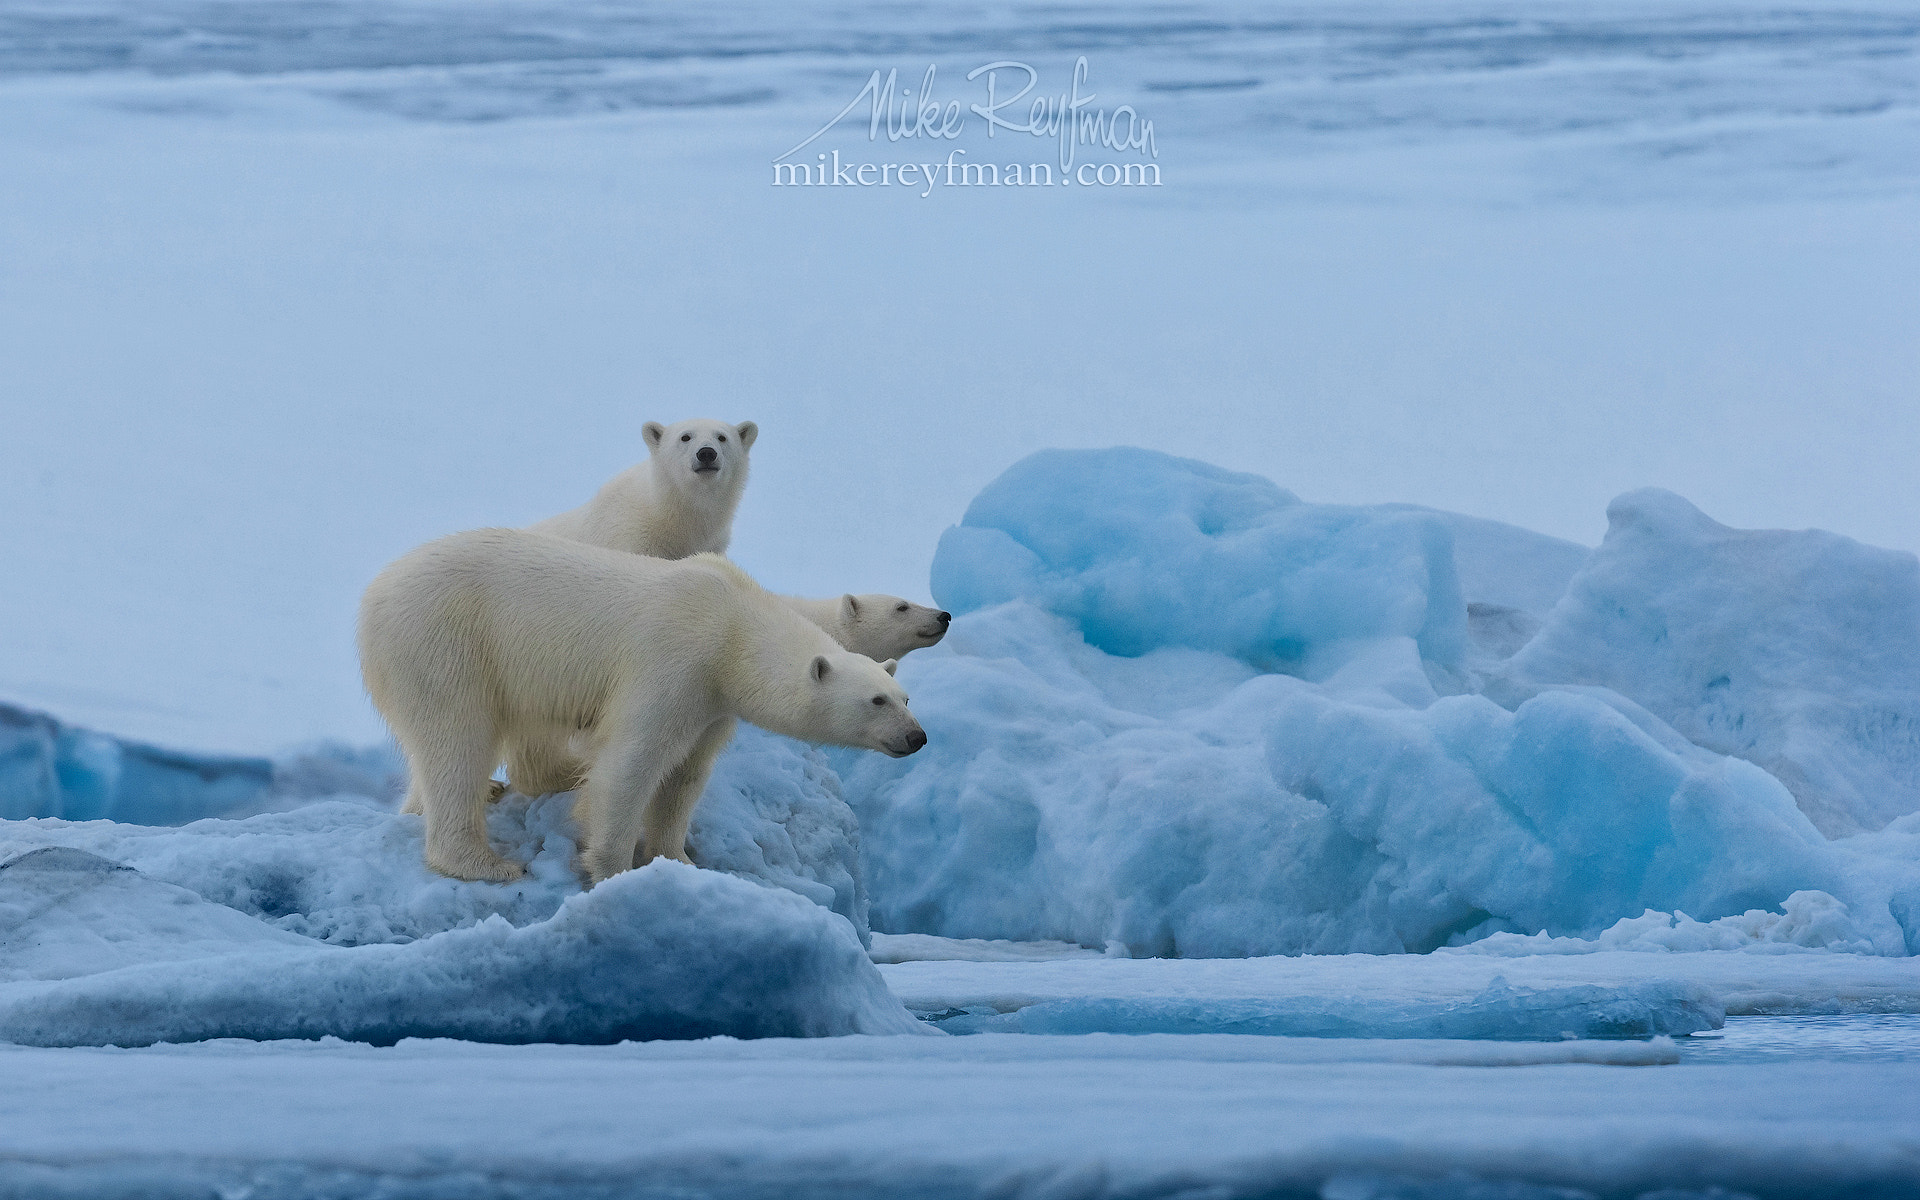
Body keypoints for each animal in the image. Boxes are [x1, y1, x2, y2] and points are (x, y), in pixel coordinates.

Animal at [358, 530, 924, 886]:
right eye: (876, 700)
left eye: (905, 697)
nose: (917, 737)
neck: (733, 623)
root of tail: (374, 595)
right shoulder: (672, 658)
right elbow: (633, 763)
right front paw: (611, 869)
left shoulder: (713, 699)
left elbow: (686, 774)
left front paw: (677, 858)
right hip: (445, 641)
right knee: (457, 742)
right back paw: (486, 863)